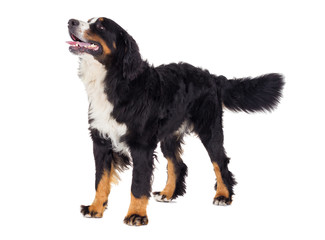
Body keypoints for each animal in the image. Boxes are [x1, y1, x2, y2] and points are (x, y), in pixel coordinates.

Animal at [66, 16, 284, 225]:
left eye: (101, 26)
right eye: (89, 20)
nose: (71, 21)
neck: (115, 82)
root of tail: (211, 76)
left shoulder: (141, 146)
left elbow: (138, 184)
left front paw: (136, 215)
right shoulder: (101, 142)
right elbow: (100, 180)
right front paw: (95, 208)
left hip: (210, 130)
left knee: (220, 162)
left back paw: (223, 195)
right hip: (170, 135)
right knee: (178, 165)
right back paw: (167, 193)